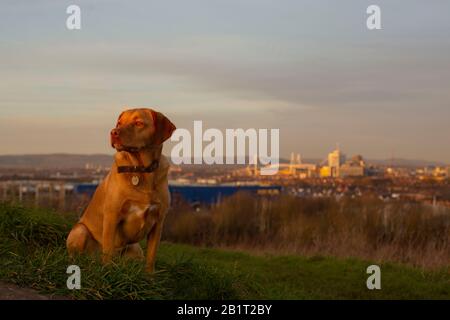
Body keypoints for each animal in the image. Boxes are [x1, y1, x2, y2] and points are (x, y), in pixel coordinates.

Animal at [67, 108, 176, 272]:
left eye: (138, 123)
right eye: (119, 123)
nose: (113, 132)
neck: (141, 170)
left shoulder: (158, 222)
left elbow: (151, 258)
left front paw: (149, 276)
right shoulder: (112, 216)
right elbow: (107, 251)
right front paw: (107, 272)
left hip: (136, 249)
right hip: (80, 231)